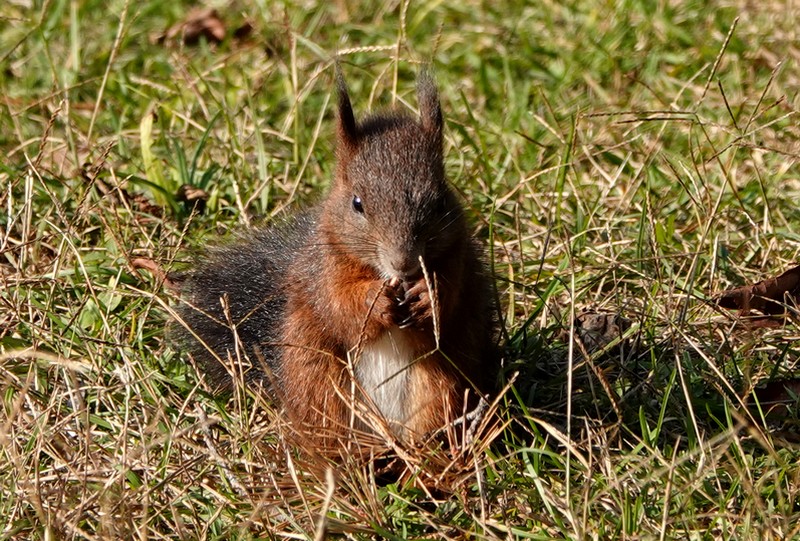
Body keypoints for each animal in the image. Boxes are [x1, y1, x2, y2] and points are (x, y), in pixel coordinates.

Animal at [173, 68, 497, 449]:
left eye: (440, 202)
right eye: (357, 203)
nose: (403, 263)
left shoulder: (459, 257)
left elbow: (451, 299)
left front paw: (428, 296)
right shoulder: (323, 266)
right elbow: (339, 305)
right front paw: (375, 300)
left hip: (440, 385)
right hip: (317, 376)